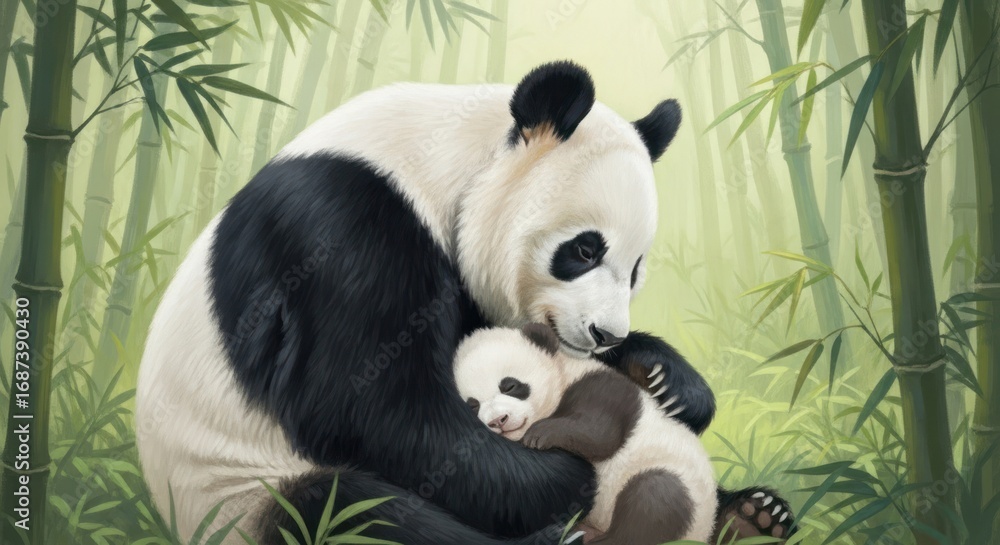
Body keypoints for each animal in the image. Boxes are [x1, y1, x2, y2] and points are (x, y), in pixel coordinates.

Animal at [453, 324, 720, 544]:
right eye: (473, 405)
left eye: (509, 385)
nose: (498, 421)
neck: (565, 371)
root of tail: (702, 534)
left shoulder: (603, 386)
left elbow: (600, 433)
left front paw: (539, 435)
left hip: (682, 486)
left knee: (655, 500)